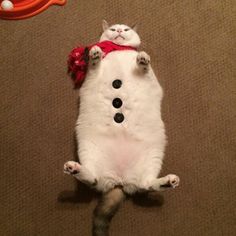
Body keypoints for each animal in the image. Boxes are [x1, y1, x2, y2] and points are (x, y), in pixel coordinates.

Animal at [63, 20, 180, 236]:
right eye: (113, 29)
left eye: (125, 29)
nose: (118, 30)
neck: (118, 50)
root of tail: (120, 181)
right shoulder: (92, 77)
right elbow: (94, 66)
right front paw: (95, 54)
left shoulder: (151, 79)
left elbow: (145, 68)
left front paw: (142, 59)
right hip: (88, 150)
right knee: (93, 178)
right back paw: (74, 168)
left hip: (153, 156)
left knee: (147, 184)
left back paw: (169, 181)